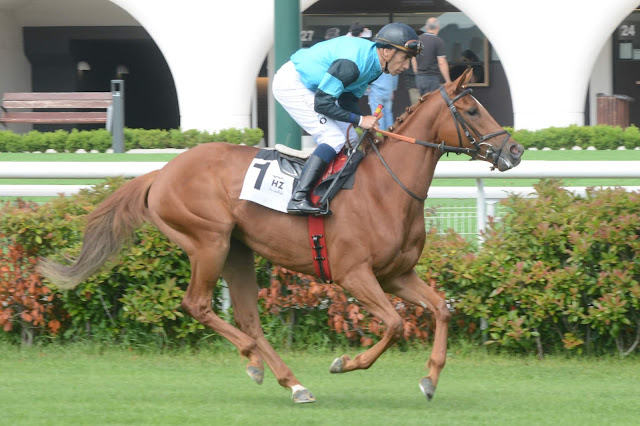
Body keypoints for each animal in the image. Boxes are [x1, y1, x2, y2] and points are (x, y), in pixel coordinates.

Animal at [39, 68, 524, 404]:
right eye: (472, 109)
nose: (515, 150)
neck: (386, 188)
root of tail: (161, 173)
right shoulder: (354, 274)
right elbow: (393, 323)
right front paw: (346, 362)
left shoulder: (396, 274)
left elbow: (441, 309)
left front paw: (429, 379)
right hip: (208, 242)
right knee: (199, 305)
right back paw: (254, 361)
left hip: (237, 251)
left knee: (249, 318)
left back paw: (292, 382)